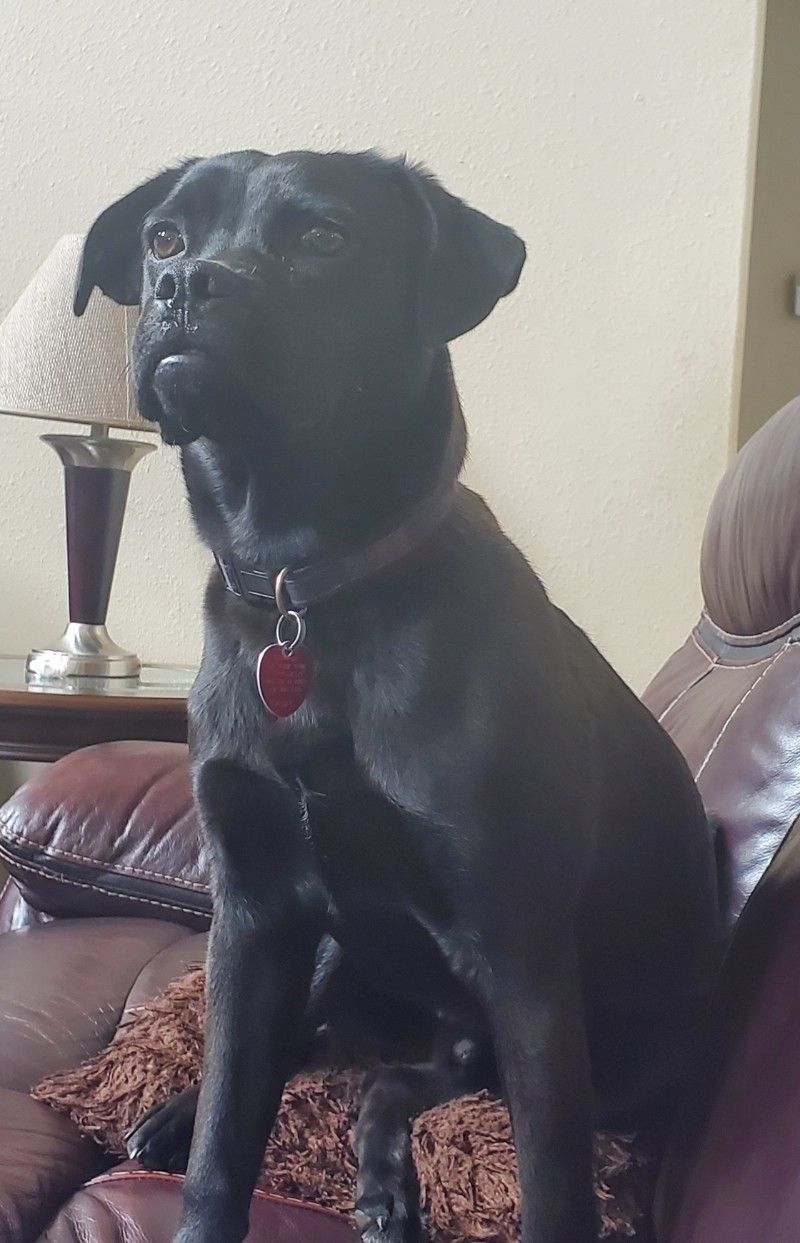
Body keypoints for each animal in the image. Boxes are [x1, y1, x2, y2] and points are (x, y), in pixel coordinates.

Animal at [75, 149, 722, 1243]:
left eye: (323, 238)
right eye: (164, 236)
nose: (185, 284)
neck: (304, 589)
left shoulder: (522, 957)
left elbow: (551, 1181)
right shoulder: (254, 912)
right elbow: (226, 1129)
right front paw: (195, 1154)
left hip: (609, 1050)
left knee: (406, 1081)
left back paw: (382, 1183)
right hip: (334, 953)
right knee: (328, 1058)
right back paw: (182, 1120)